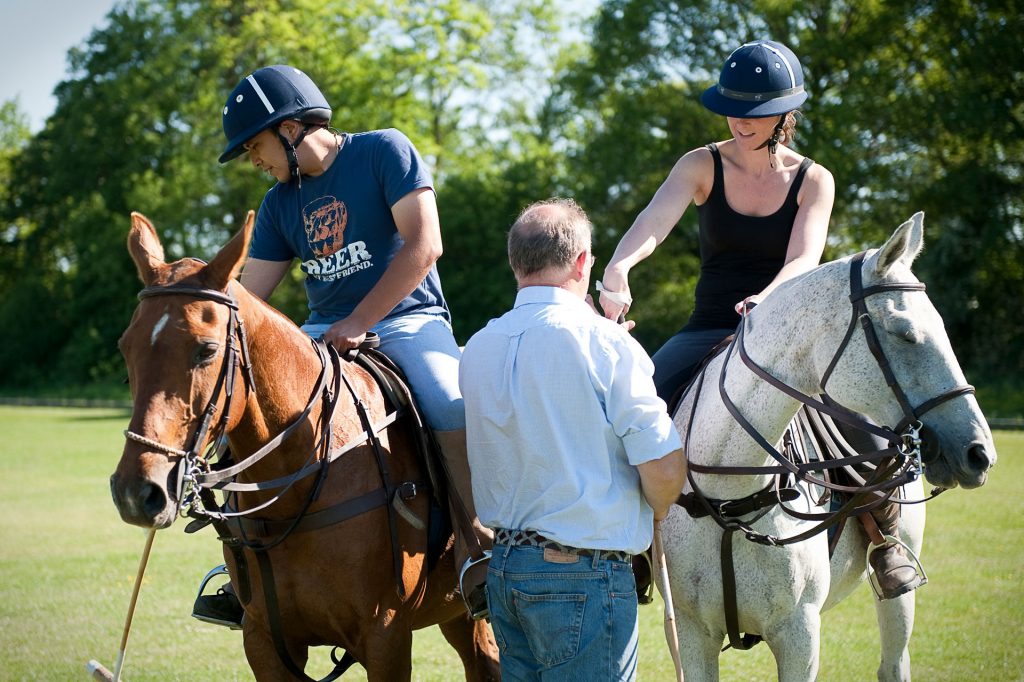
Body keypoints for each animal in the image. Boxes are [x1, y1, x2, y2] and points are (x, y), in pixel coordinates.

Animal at [109, 209, 499, 675]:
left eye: (206, 350)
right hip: (454, 613)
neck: (300, 482)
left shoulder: (386, 636)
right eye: (125, 347)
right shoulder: (264, 639)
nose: (136, 493)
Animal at [659, 209, 995, 675]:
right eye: (905, 333)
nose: (979, 453)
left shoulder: (800, 635)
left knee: (894, 661)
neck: (730, 495)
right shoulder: (692, 635)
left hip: (899, 584)